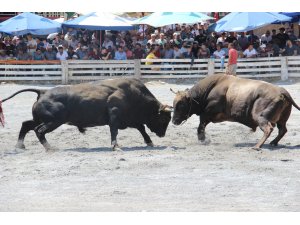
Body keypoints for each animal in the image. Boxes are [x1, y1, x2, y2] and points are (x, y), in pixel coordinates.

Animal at [0, 78, 171, 150]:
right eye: (163, 119)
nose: (162, 134)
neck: (133, 94)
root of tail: (43, 92)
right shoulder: (115, 116)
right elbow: (114, 131)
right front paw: (115, 146)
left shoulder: (130, 120)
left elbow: (141, 128)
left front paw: (149, 142)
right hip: (53, 121)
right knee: (39, 130)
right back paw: (49, 148)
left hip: (41, 119)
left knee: (26, 125)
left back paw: (20, 145)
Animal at [171, 73, 300, 149]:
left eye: (181, 105)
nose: (173, 121)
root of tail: (282, 91)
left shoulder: (207, 113)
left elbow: (200, 127)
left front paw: (202, 140)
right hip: (282, 119)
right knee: (282, 130)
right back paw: (273, 142)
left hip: (260, 116)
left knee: (268, 128)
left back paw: (257, 146)